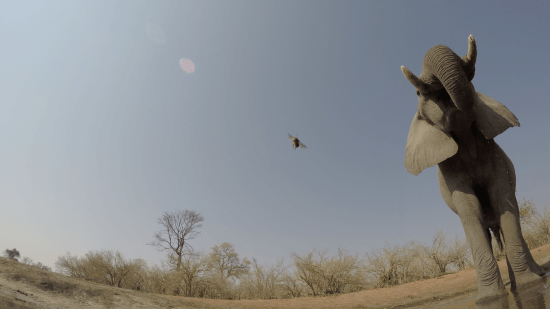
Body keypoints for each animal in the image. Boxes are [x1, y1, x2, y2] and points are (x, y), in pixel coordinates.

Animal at [402, 34, 548, 300]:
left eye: (471, 78)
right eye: (418, 92)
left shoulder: (493, 154)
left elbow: (502, 199)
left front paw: (528, 286)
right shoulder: (449, 169)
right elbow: (469, 209)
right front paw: (490, 298)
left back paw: (530, 279)